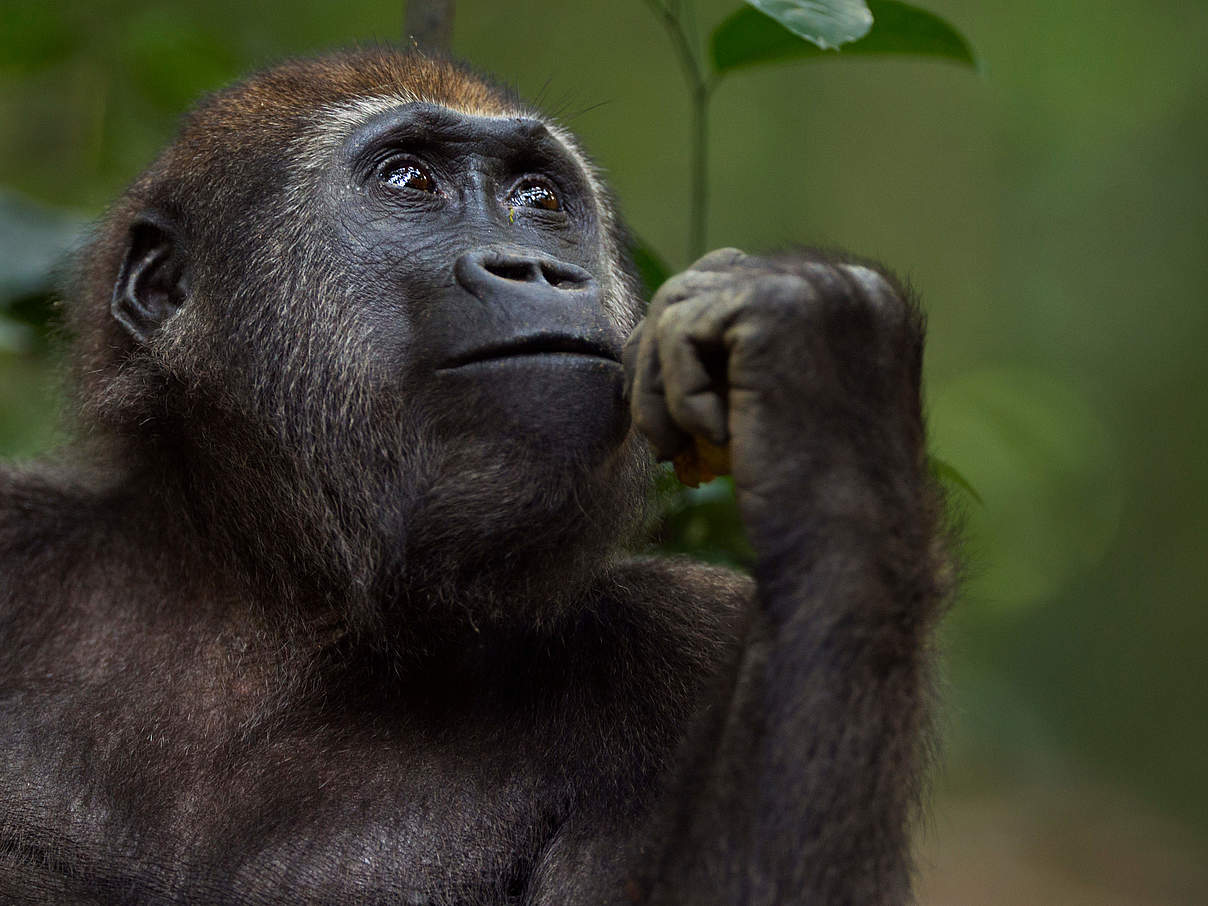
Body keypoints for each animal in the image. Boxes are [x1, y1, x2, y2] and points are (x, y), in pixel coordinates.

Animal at [0, 51, 951, 906]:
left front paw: (828, 385)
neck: (270, 589)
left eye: (540, 199)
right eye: (409, 179)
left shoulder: (694, 644)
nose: (538, 269)